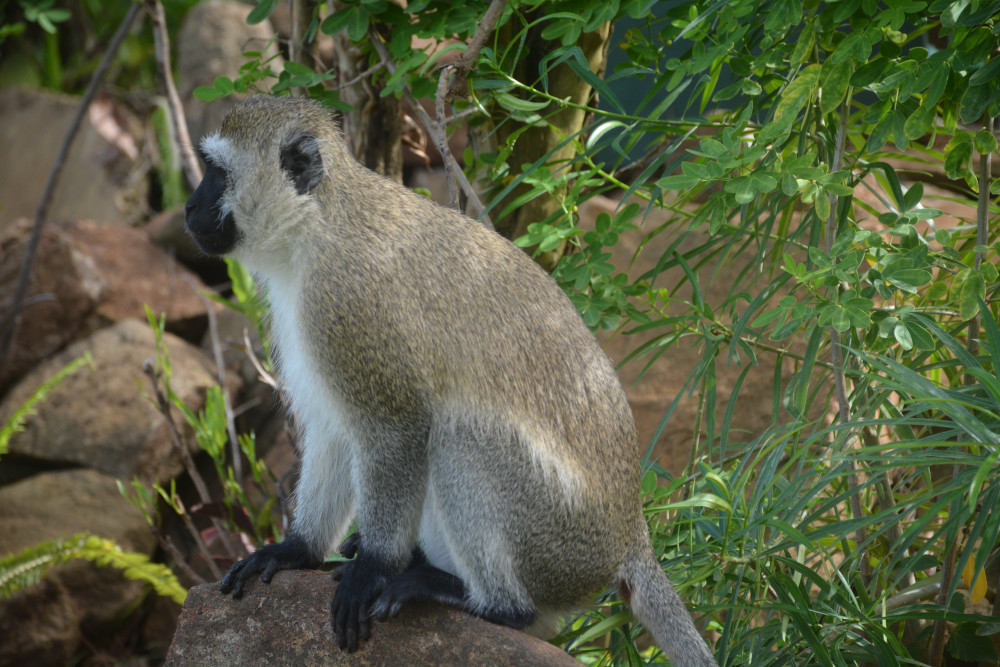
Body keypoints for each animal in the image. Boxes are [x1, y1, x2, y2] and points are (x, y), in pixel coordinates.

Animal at [186, 95, 720, 667]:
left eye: (216, 173)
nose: (189, 209)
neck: (317, 224)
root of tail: (629, 537)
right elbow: (332, 429)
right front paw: (297, 550)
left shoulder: (348, 306)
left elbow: (395, 429)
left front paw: (372, 569)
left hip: (556, 544)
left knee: (460, 438)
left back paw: (485, 601)